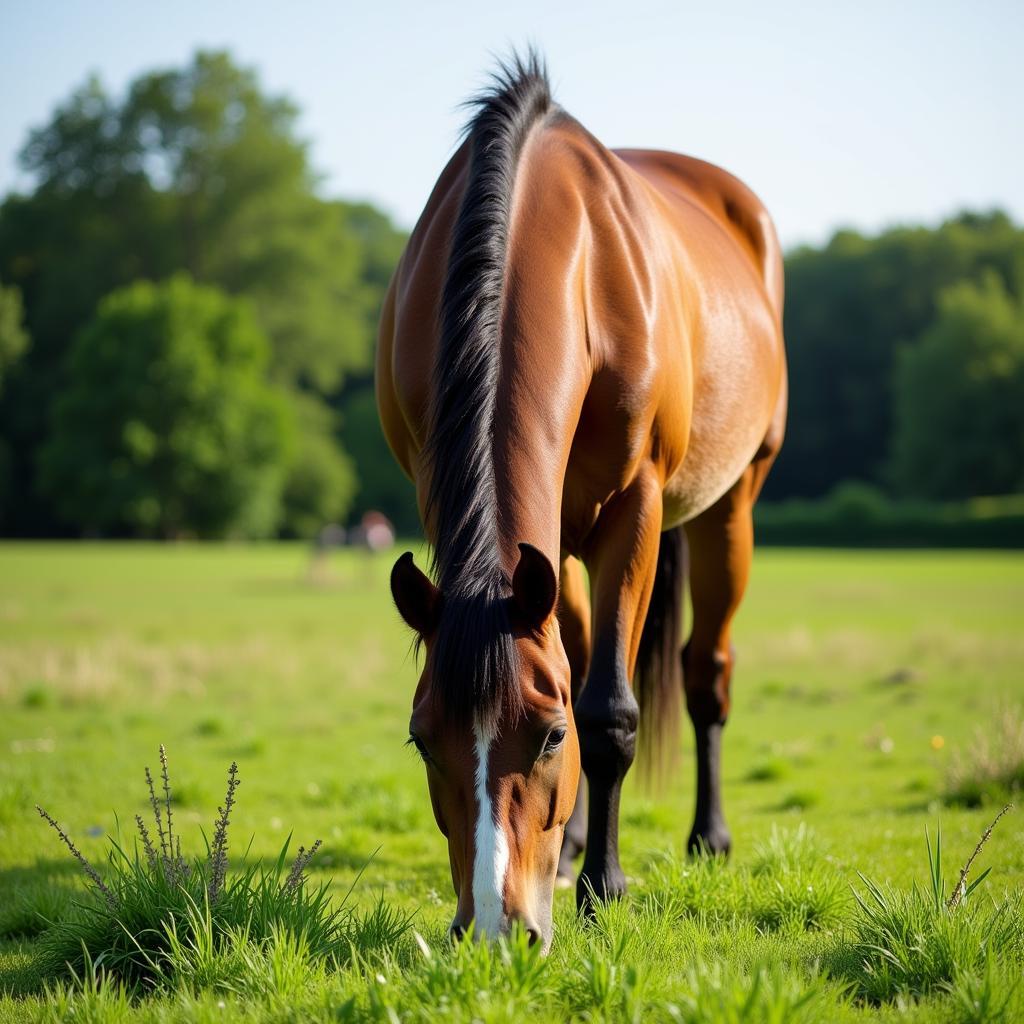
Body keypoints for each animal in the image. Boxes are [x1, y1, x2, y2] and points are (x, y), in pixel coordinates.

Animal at [380, 54, 786, 950]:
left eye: (551, 735)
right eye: (420, 740)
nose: (497, 930)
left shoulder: (633, 509)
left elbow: (610, 710)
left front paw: (605, 886)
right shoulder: (496, 520)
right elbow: (574, 661)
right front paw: (571, 863)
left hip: (731, 503)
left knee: (705, 672)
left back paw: (707, 836)